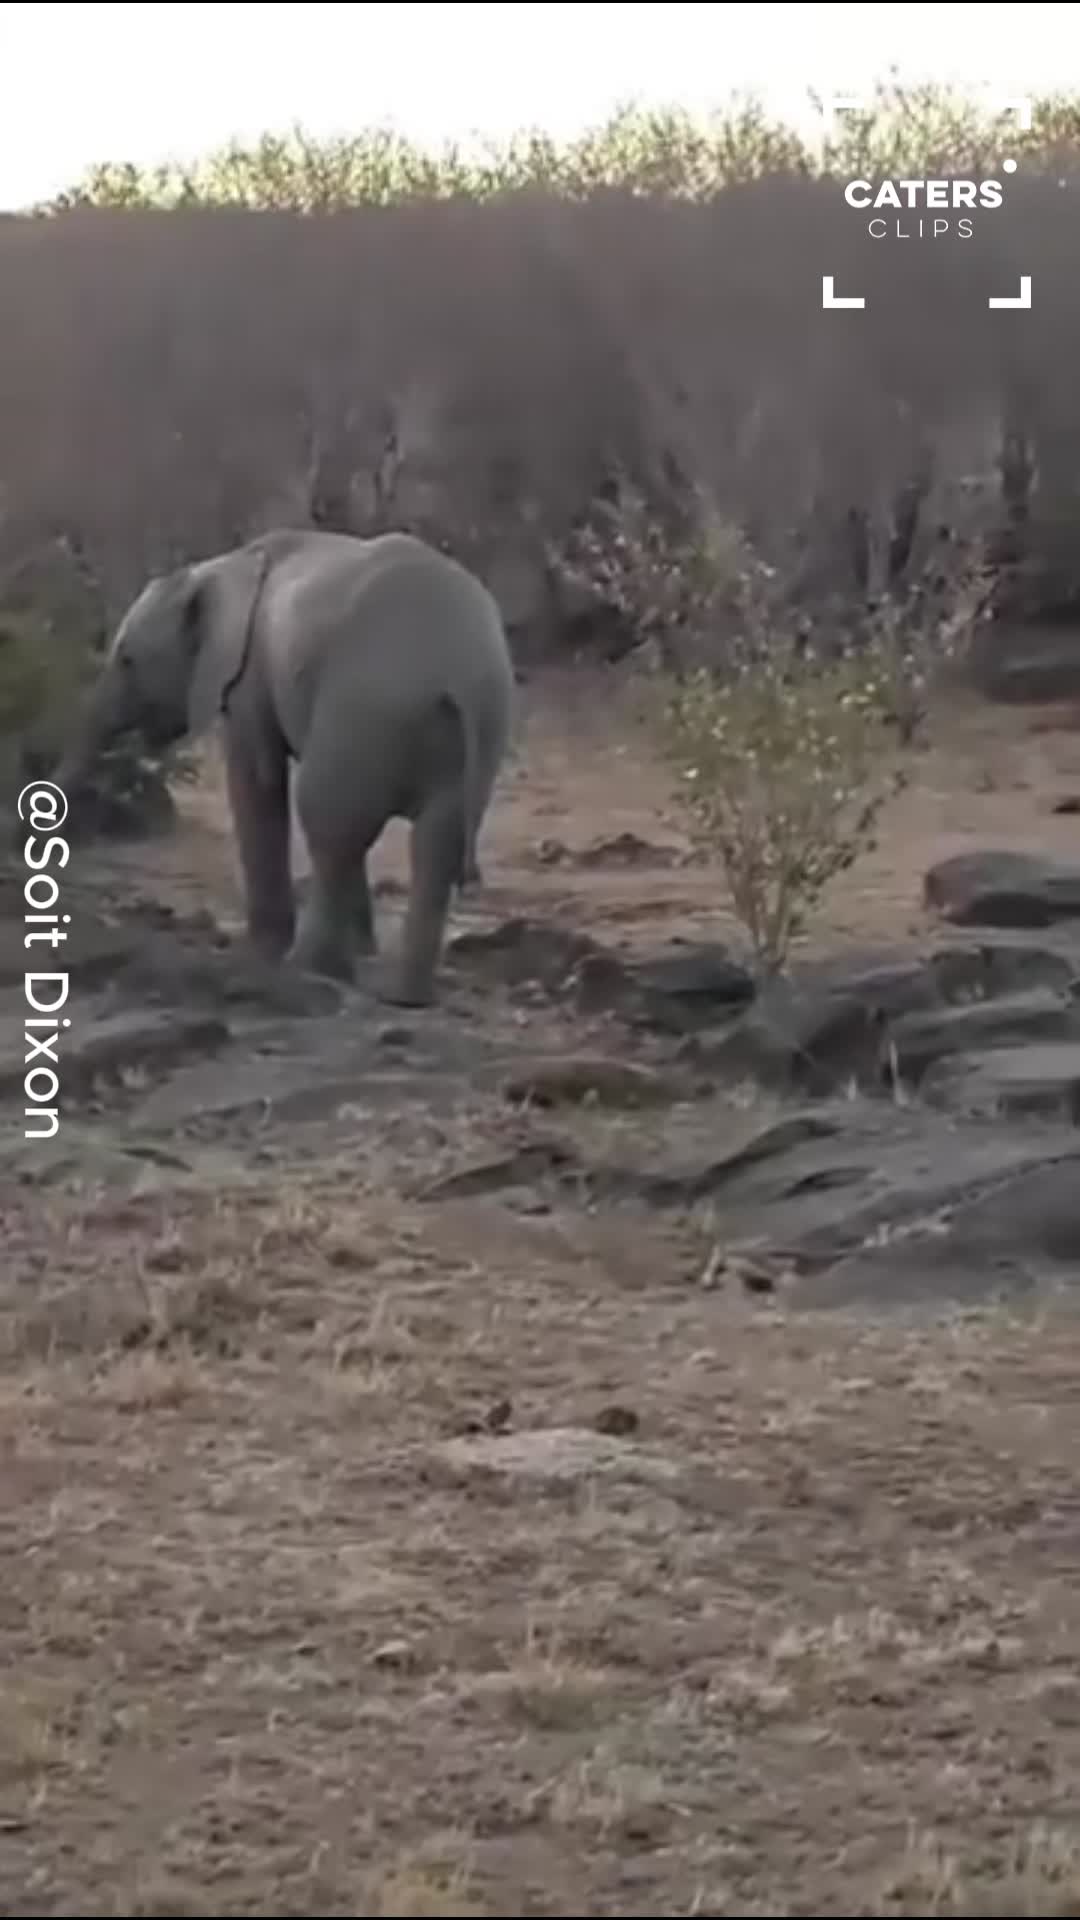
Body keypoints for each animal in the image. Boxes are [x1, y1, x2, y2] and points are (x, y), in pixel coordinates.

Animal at [54, 528, 516, 1006]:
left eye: (127, 659)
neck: (218, 568)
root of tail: (459, 672)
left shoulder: (245, 676)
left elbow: (258, 779)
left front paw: (260, 953)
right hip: (461, 732)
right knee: (431, 844)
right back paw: (404, 996)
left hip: (368, 709)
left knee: (330, 825)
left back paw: (309, 969)